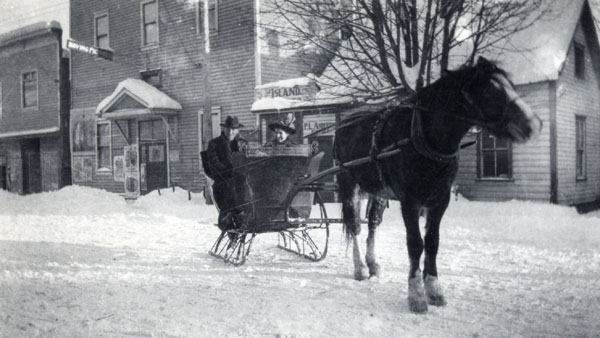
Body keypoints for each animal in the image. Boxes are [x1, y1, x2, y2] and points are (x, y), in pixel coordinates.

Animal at [336, 56, 540, 312]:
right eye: (490, 91)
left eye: (511, 85)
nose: (532, 124)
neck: (423, 138)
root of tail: (344, 124)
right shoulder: (410, 202)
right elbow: (415, 244)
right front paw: (416, 296)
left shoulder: (440, 200)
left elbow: (432, 243)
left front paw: (434, 289)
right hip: (348, 184)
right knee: (354, 225)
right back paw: (360, 268)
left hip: (378, 191)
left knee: (372, 223)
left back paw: (372, 264)